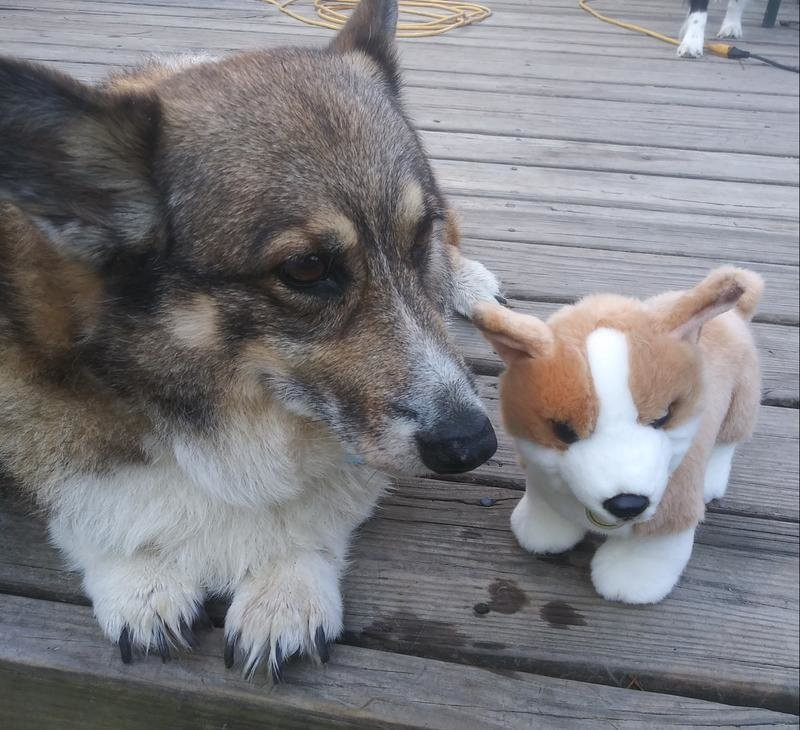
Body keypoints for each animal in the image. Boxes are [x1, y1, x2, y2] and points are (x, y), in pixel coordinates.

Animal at [0, 0, 500, 676]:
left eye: (420, 235)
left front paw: (284, 588)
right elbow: (88, 512)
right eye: (306, 268)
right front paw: (140, 584)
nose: (474, 445)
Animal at [476, 268, 764, 604]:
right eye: (564, 431)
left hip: (741, 401)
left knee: (727, 441)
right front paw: (542, 530)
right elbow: (545, 503)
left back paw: (712, 480)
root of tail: (732, 315)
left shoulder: (673, 506)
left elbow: (652, 548)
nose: (628, 504)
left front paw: (631, 578)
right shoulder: (541, 474)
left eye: (663, 418)